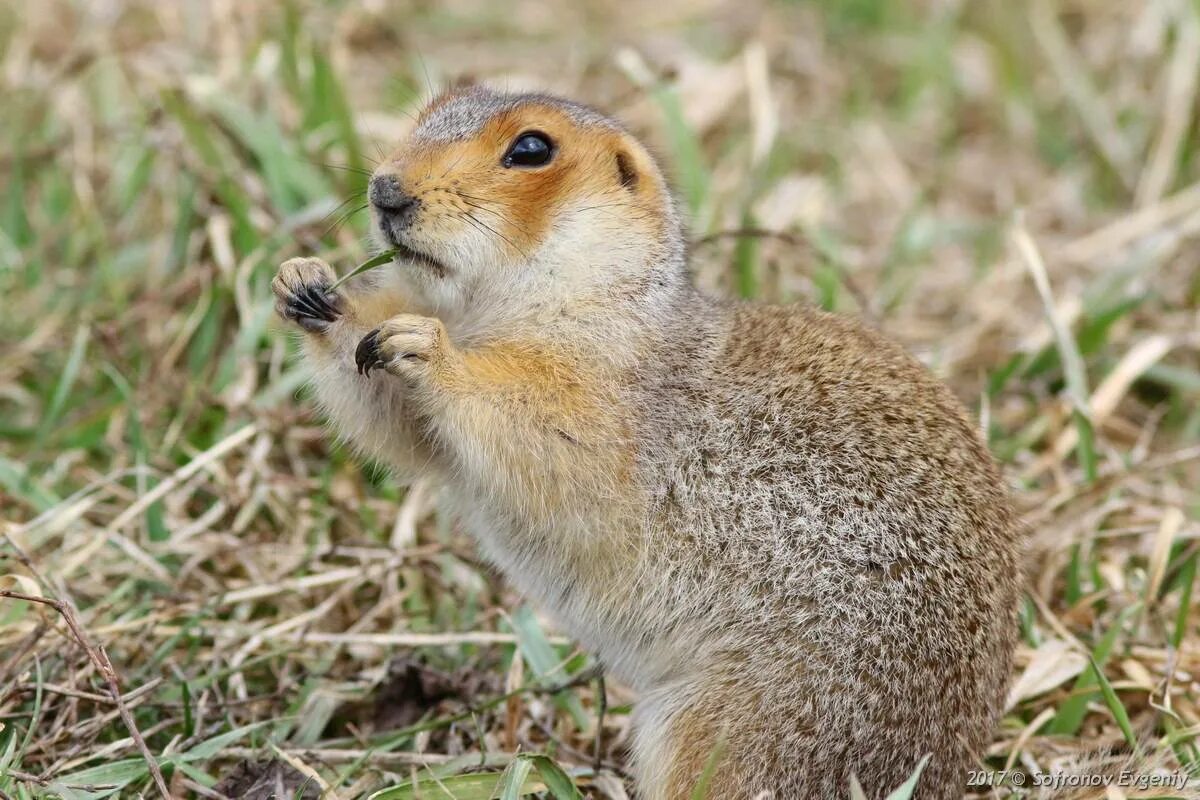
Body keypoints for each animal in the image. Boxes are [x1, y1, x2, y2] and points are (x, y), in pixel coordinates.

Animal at [274, 87, 1022, 800]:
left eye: (531, 148)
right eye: (429, 110)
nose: (384, 189)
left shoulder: (608, 393)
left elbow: (552, 436)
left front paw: (428, 348)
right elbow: (405, 431)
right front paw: (308, 285)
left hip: (744, 722)